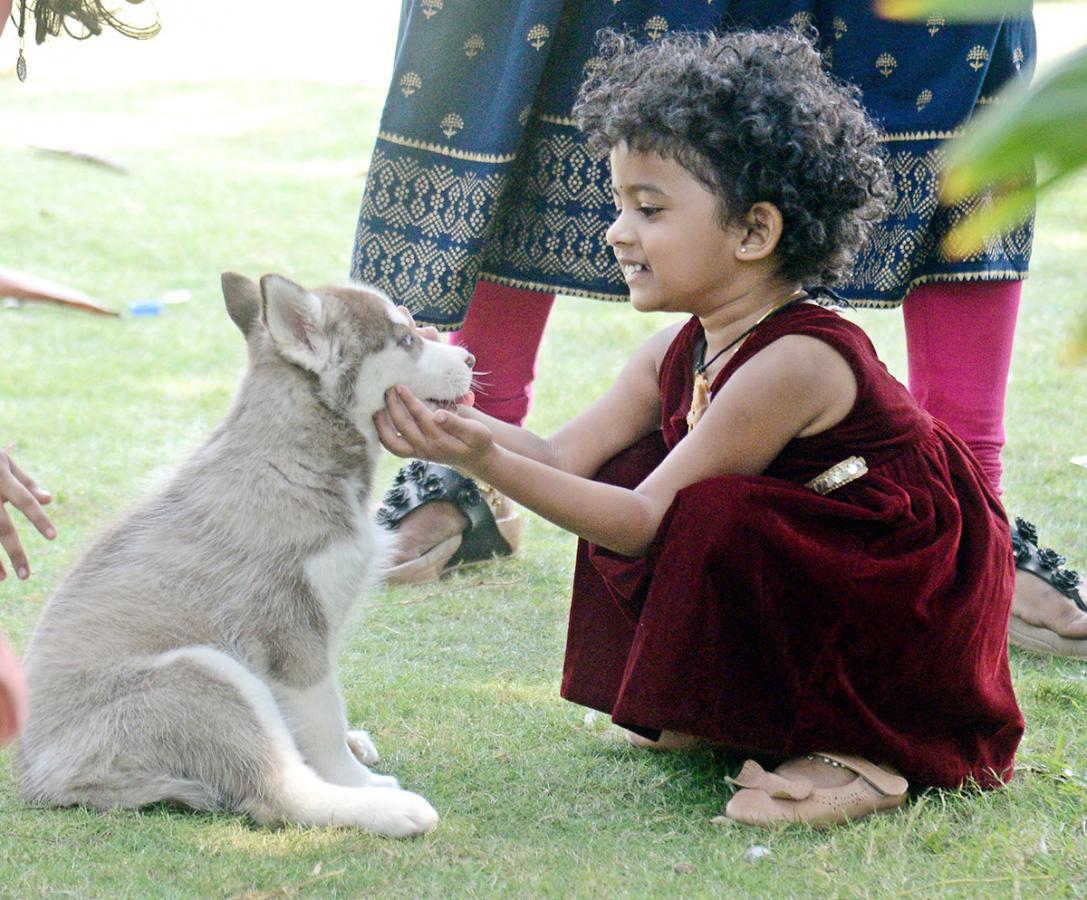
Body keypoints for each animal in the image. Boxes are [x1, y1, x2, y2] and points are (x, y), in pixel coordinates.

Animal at [12, 272, 471, 834]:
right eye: (405, 339)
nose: (470, 357)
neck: (296, 462)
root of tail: (42, 779)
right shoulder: (292, 630)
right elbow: (323, 717)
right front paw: (353, 777)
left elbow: (320, 713)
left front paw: (349, 746)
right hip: (205, 672)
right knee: (276, 794)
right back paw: (390, 810)